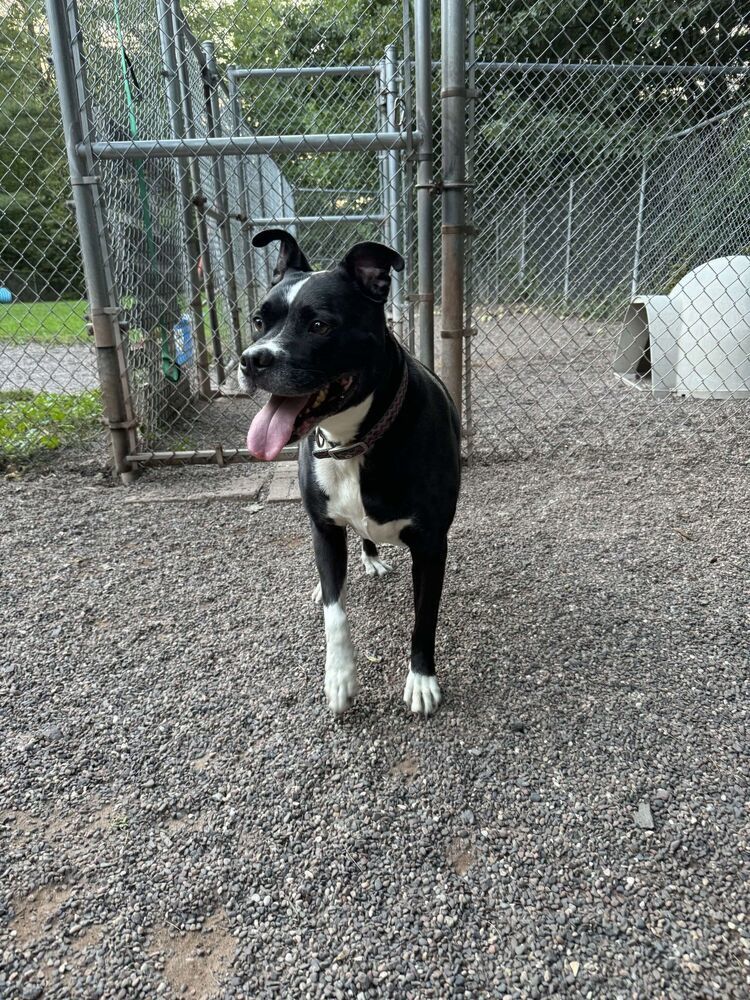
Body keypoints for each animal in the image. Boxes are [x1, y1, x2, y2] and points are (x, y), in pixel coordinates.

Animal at [241, 230, 464, 716]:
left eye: (320, 325)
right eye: (258, 320)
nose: (251, 360)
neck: (354, 442)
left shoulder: (431, 545)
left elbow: (424, 618)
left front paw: (421, 680)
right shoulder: (324, 528)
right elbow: (335, 611)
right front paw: (340, 677)